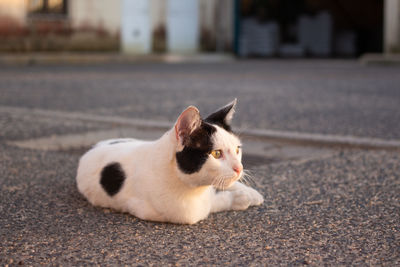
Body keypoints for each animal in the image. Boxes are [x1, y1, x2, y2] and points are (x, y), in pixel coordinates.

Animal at [75, 99, 264, 225]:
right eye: (216, 154)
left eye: (237, 149)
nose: (239, 168)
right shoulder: (188, 213)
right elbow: (213, 203)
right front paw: (241, 198)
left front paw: (252, 193)